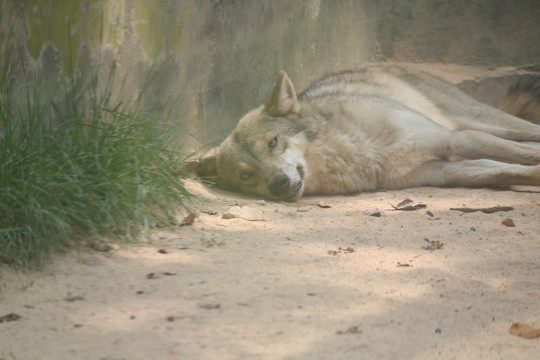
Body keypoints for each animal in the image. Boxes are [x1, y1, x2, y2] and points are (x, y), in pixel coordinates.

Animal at [194, 63, 540, 201]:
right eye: (246, 176)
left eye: (272, 143)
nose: (277, 184)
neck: (356, 153)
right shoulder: (443, 170)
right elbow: (509, 171)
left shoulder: (452, 140)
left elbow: (525, 156)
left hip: (483, 123)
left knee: (529, 135)